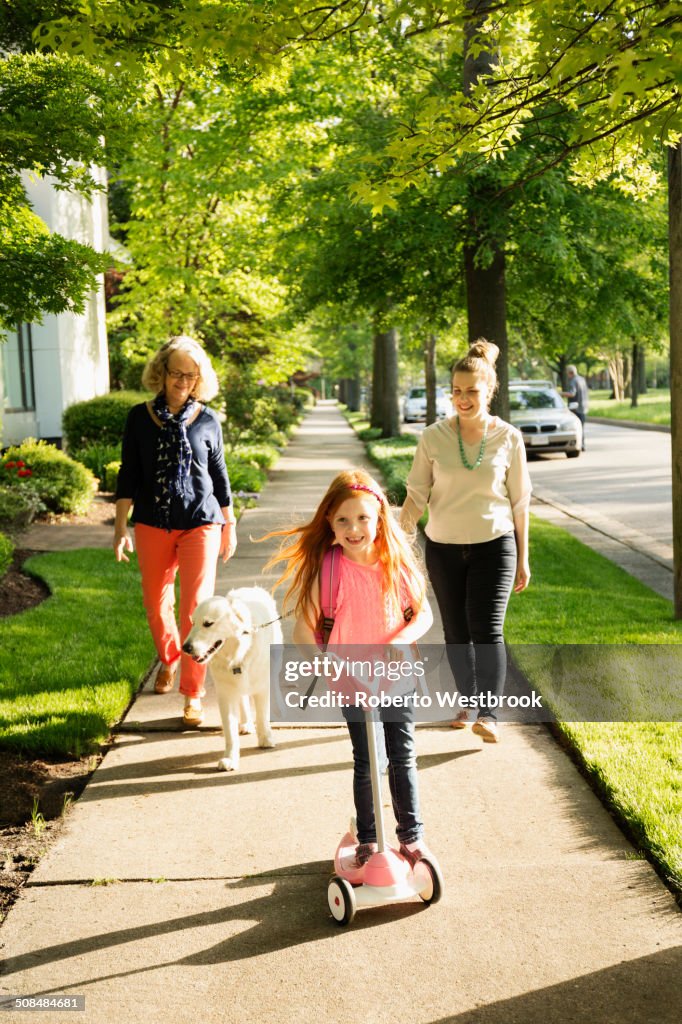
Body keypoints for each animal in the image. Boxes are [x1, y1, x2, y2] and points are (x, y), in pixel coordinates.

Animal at [180, 589, 280, 770]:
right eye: (193, 623)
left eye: (208, 623)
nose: (185, 648)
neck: (237, 654)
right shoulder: (226, 693)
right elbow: (230, 730)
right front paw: (230, 759)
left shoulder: (262, 687)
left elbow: (262, 716)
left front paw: (266, 739)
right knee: (243, 700)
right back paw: (246, 724)